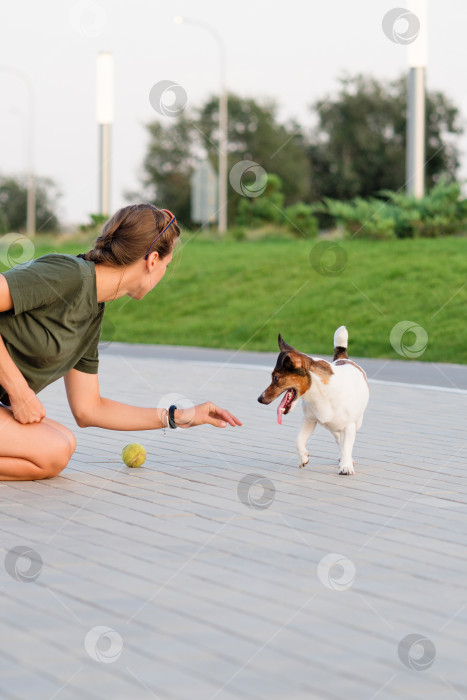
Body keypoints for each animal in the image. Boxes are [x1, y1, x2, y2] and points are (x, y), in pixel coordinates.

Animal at [260, 328, 370, 476]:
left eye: (275, 378)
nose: (259, 398)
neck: (320, 395)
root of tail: (343, 358)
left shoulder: (349, 426)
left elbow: (347, 446)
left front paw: (346, 466)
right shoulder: (309, 420)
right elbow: (299, 440)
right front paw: (303, 458)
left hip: (356, 423)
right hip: (333, 426)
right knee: (338, 438)